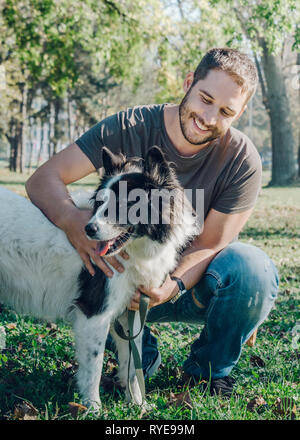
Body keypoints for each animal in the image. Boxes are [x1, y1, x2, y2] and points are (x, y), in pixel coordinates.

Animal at [0, 147, 199, 410]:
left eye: (126, 203)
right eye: (101, 202)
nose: (88, 230)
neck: (133, 252)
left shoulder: (130, 314)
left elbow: (131, 367)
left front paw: (138, 406)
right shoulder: (94, 314)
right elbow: (94, 366)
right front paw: (93, 408)